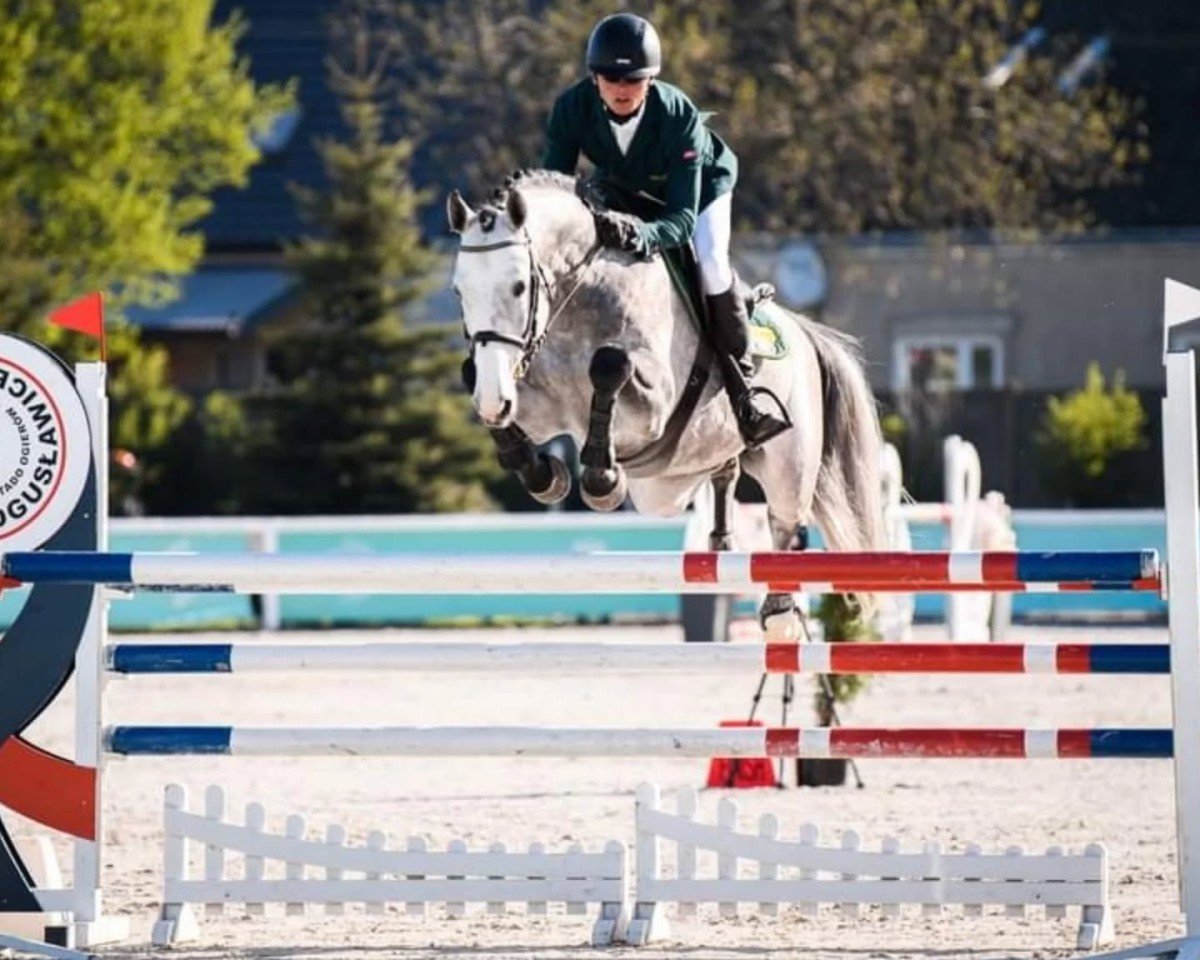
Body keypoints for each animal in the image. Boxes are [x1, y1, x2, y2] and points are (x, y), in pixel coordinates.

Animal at [447, 170, 886, 638]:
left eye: (519, 286)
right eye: (458, 291)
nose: (494, 399)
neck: (579, 304)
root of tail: (803, 331)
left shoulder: (653, 411)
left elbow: (610, 365)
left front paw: (602, 479)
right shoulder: (537, 409)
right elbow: (480, 384)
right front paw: (544, 474)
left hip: (788, 465)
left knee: (785, 526)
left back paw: (781, 611)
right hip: (675, 480)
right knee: (724, 475)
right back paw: (722, 541)